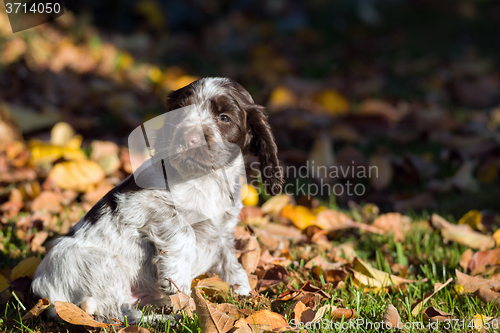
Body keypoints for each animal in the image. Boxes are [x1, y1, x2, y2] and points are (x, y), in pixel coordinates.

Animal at [31, 77, 284, 322]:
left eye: (224, 118)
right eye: (179, 114)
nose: (189, 138)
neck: (206, 180)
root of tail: (44, 293)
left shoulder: (222, 228)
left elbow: (229, 259)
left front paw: (242, 290)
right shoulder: (141, 202)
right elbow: (184, 230)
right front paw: (177, 280)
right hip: (102, 266)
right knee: (117, 314)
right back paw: (171, 319)